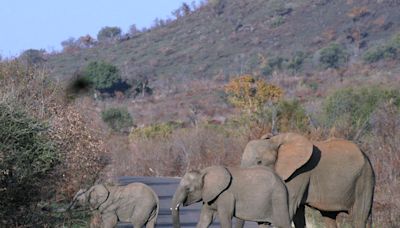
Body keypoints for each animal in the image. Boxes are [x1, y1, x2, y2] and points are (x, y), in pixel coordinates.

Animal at [238, 132, 376, 228]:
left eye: (259, 162)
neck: (275, 140)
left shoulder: (298, 173)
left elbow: (287, 209)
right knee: (329, 217)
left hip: (364, 180)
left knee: (359, 218)